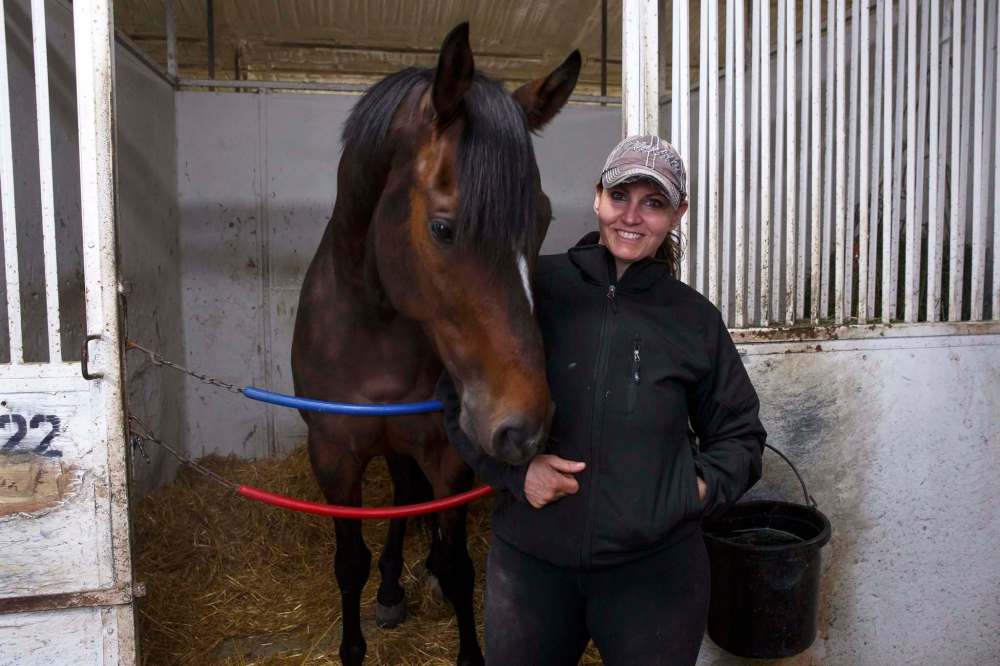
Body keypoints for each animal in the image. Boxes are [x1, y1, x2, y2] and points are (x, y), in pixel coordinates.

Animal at [291, 23, 580, 666]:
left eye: (544, 219)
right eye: (444, 227)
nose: (525, 428)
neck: (374, 333)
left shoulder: (448, 456)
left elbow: (458, 566)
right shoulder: (333, 457)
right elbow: (349, 565)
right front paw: (358, 636)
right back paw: (390, 588)